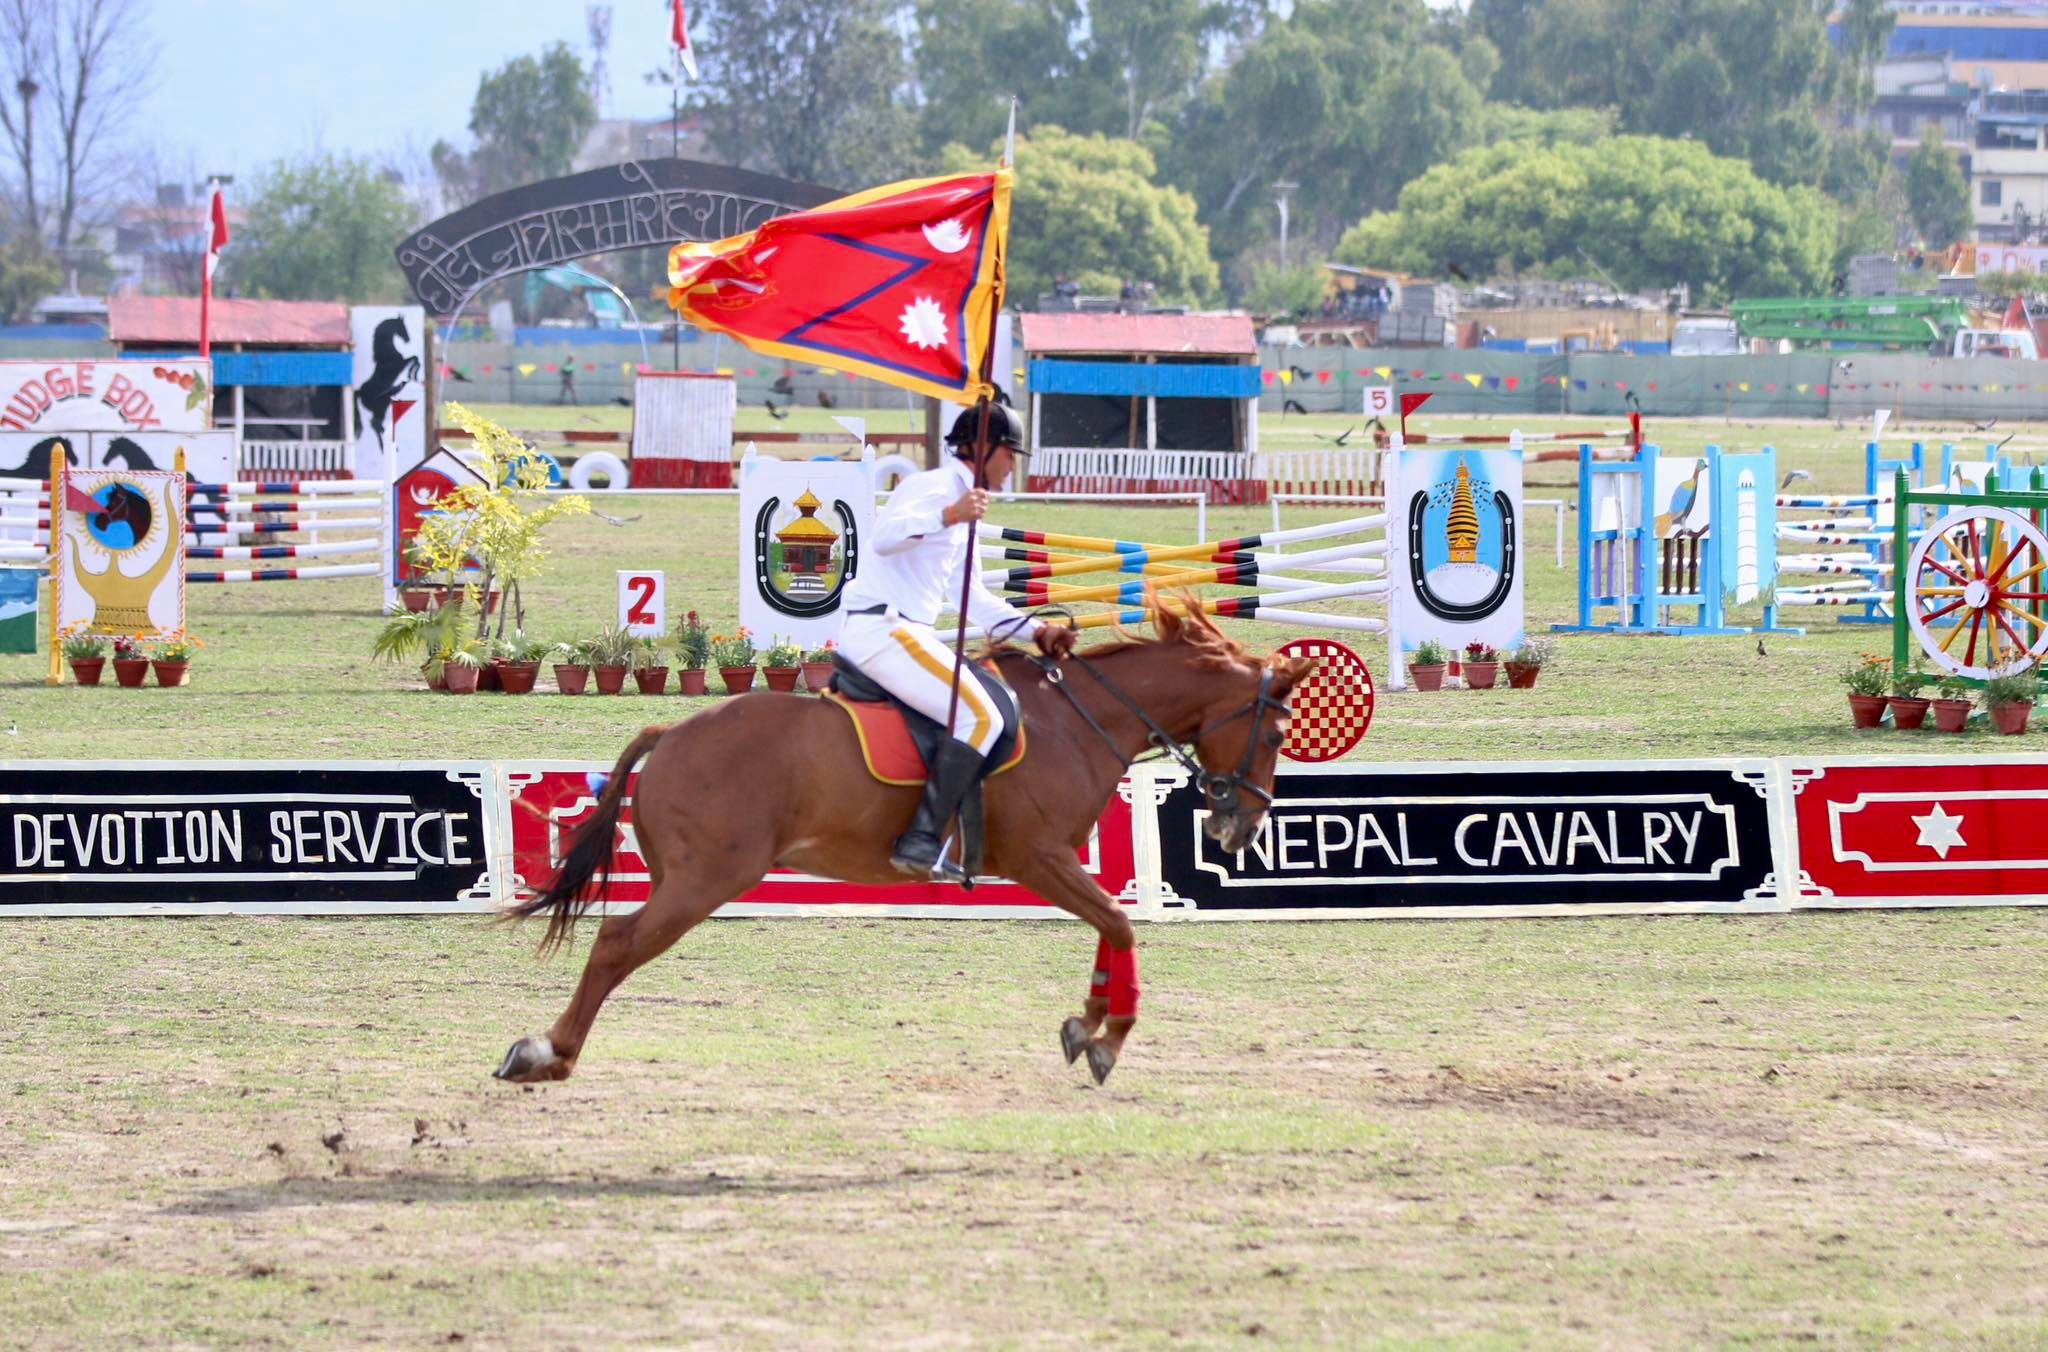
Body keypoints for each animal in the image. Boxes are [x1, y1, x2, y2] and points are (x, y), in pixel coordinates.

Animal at [497, 600, 1312, 1086]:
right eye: (1277, 735)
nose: (1243, 829)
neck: (1077, 717)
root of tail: (670, 733)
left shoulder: (1054, 862)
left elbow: (1112, 929)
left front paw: (1086, 1024)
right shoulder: (1039, 857)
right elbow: (1120, 922)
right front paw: (1107, 1033)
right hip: (705, 882)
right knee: (616, 946)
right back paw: (549, 1053)